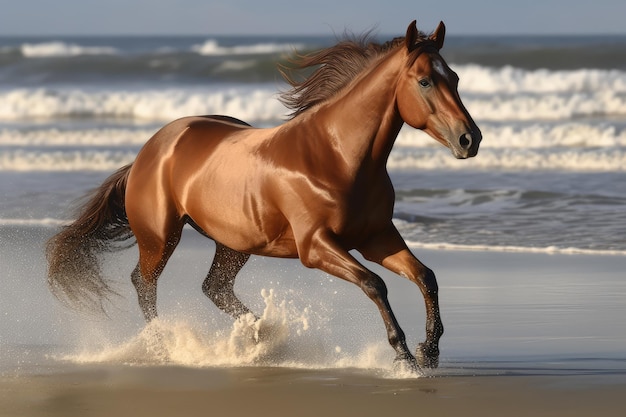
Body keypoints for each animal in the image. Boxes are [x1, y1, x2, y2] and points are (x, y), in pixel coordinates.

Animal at [46, 21, 480, 368]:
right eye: (424, 81)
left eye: (456, 79)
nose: (469, 139)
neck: (335, 156)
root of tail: (149, 150)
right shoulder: (316, 246)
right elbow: (375, 284)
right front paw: (404, 354)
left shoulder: (377, 238)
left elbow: (425, 277)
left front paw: (430, 351)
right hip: (161, 237)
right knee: (144, 284)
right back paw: (164, 348)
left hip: (234, 242)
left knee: (214, 287)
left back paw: (261, 339)